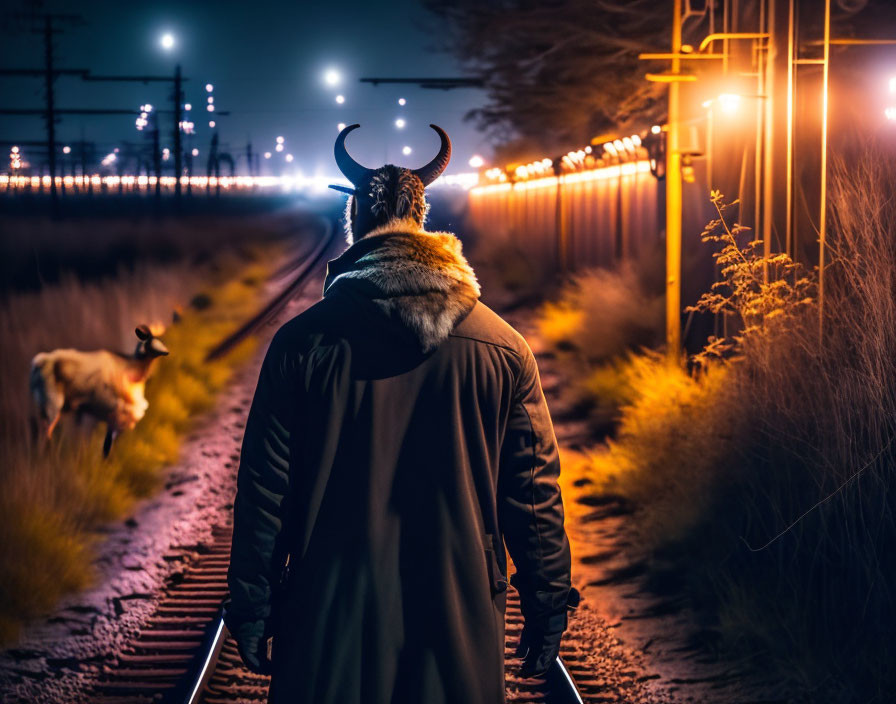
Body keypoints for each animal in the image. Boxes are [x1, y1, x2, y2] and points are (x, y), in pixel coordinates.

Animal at [30, 324, 170, 456]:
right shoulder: (115, 411)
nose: (166, 352)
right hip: (52, 405)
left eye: (161, 340)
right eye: (150, 341)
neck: (129, 368)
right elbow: (108, 445)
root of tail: (38, 363)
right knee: (44, 433)